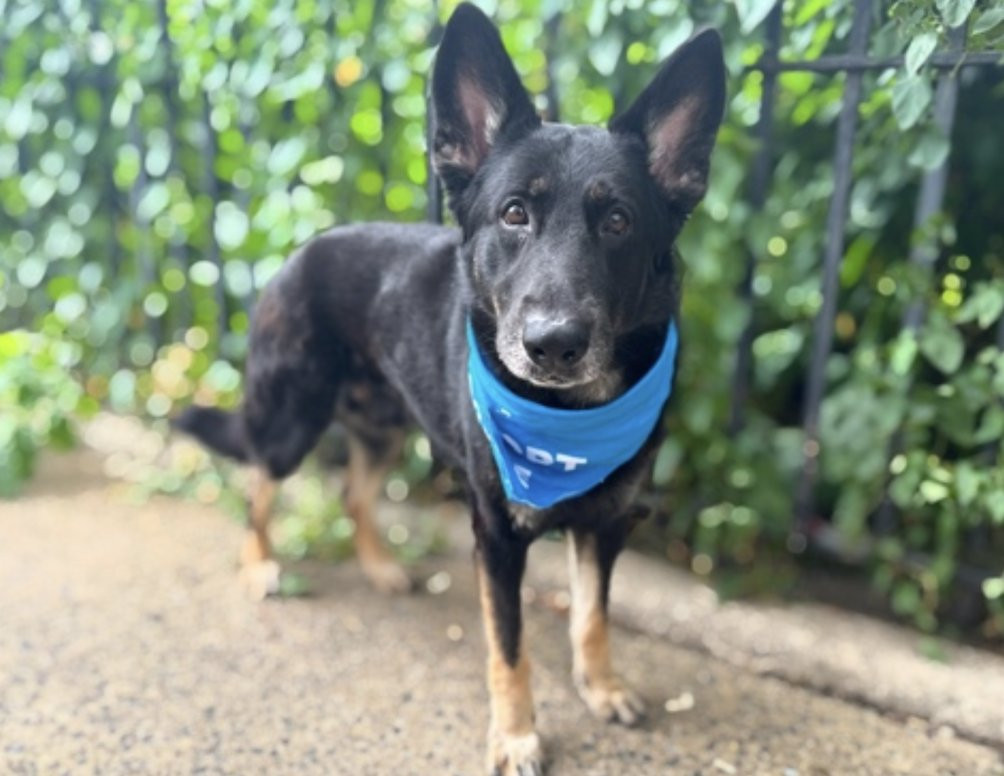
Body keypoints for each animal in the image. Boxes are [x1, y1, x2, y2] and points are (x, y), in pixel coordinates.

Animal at [173, 4, 725, 773]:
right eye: (515, 214)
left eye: (619, 222)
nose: (553, 343)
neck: (566, 415)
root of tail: (300, 251)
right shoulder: (495, 536)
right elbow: (510, 648)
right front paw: (516, 735)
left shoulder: (606, 526)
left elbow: (591, 618)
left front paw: (603, 688)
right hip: (291, 422)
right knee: (258, 481)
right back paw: (260, 568)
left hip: (383, 429)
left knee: (352, 494)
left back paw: (381, 569)